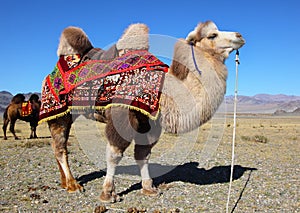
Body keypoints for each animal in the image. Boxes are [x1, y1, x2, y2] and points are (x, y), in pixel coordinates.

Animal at [45, 20, 246, 202]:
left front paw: (149, 188)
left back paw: (64, 182)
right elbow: (114, 155)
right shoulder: (123, 115)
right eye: (212, 35)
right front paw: (108, 193)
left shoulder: (150, 122)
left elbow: (143, 154)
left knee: (57, 146)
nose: (239, 35)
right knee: (60, 147)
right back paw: (73, 185)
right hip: (58, 111)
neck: (163, 91)